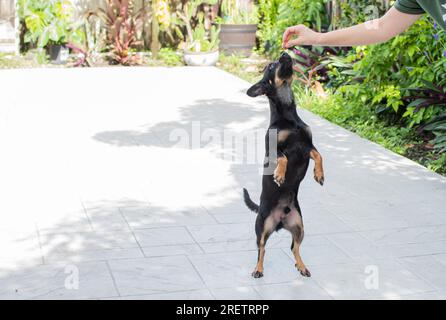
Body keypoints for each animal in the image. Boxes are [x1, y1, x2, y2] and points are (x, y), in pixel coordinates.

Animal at [244, 52, 324, 278]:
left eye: (279, 60)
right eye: (271, 66)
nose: (284, 53)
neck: (288, 116)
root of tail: (280, 222)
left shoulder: (308, 146)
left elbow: (320, 155)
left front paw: (319, 174)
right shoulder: (273, 150)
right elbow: (284, 158)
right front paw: (279, 175)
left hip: (299, 226)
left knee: (294, 247)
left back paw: (301, 266)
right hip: (262, 226)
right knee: (261, 248)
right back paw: (258, 269)